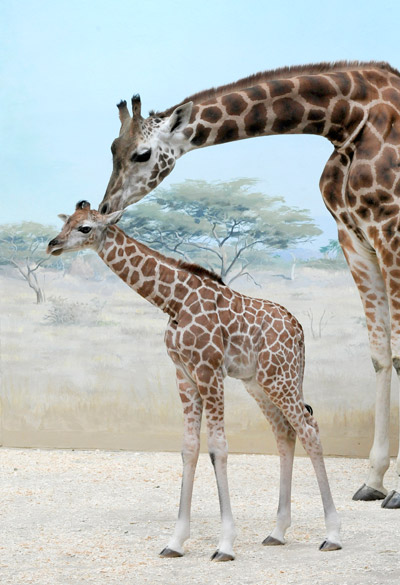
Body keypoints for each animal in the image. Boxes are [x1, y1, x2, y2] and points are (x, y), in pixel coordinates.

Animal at [47, 202, 340, 560]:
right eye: (67, 223)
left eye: (85, 228)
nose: (52, 245)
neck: (174, 301)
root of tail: (298, 331)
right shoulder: (184, 374)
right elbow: (189, 448)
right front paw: (175, 541)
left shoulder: (208, 370)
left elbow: (218, 447)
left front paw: (225, 544)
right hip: (259, 382)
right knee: (285, 433)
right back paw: (277, 532)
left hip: (279, 376)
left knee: (309, 429)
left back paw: (332, 534)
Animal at [99, 60, 400, 506]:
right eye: (112, 149)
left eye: (142, 153)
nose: (104, 207)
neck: (346, 119)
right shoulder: (355, 238)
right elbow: (381, 355)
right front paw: (375, 479)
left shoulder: (391, 230)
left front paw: (395, 489)